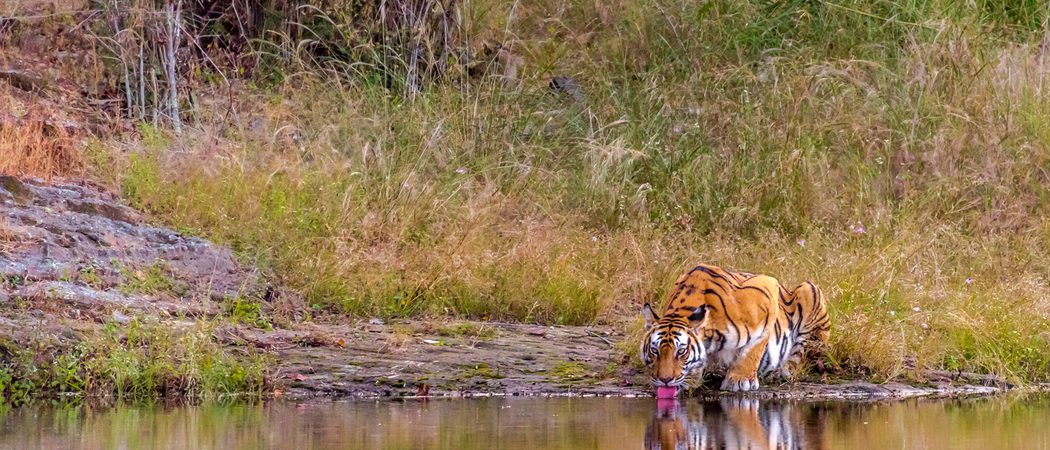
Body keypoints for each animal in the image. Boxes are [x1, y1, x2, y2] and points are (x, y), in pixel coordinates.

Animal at [640, 263, 829, 392]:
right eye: (655, 351)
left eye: (681, 351)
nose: (665, 380)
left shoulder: (768, 289)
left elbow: (752, 350)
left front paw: (740, 379)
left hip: (810, 290)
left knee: (800, 353)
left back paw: (783, 371)